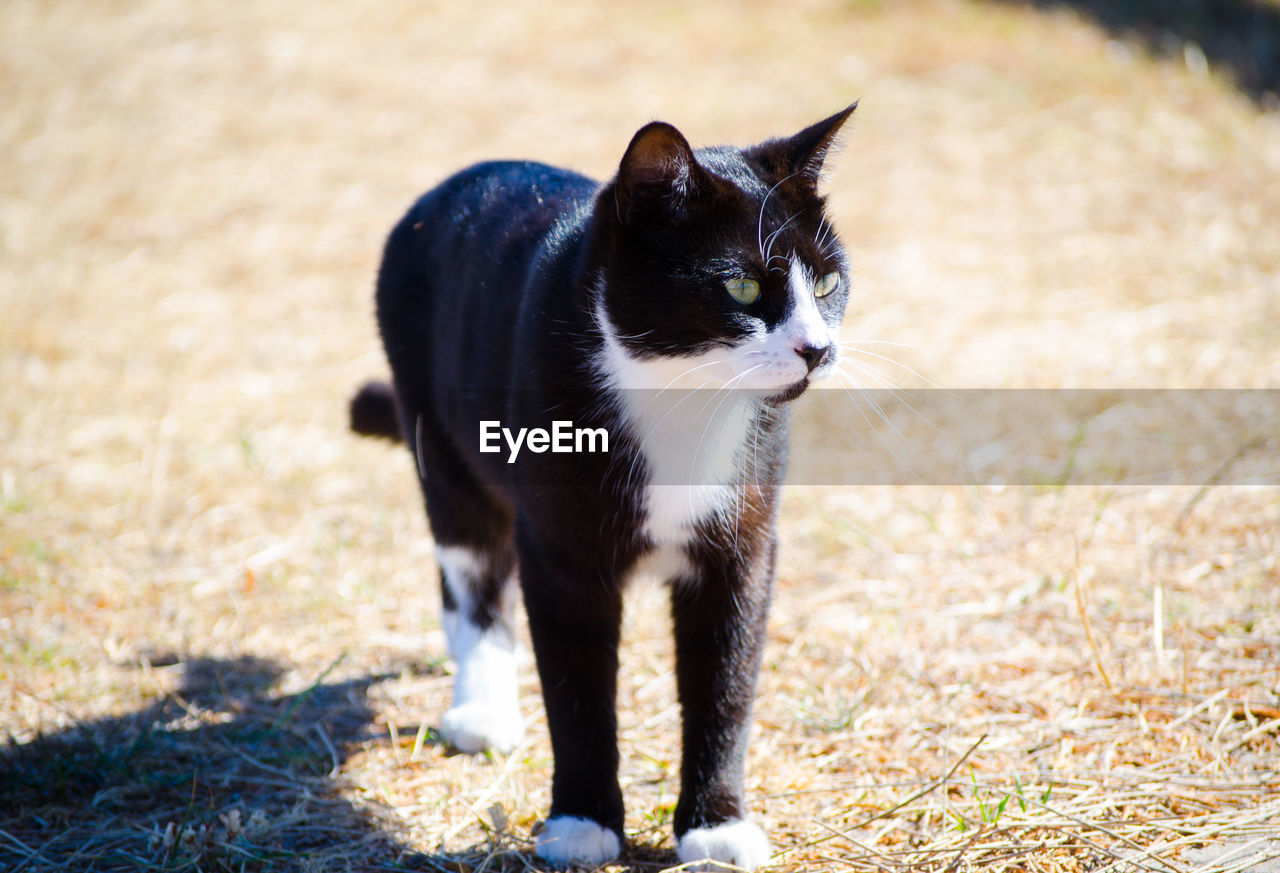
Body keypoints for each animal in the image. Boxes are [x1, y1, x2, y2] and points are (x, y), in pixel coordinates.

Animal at [348, 105, 860, 865]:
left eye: (826, 285)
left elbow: (726, 682)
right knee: (471, 569)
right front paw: (581, 823)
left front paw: (716, 825)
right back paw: (482, 706)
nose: (817, 348)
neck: (682, 401)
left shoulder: (744, 543)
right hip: (439, 438)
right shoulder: (561, 551)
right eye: (741, 285)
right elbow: (577, 686)